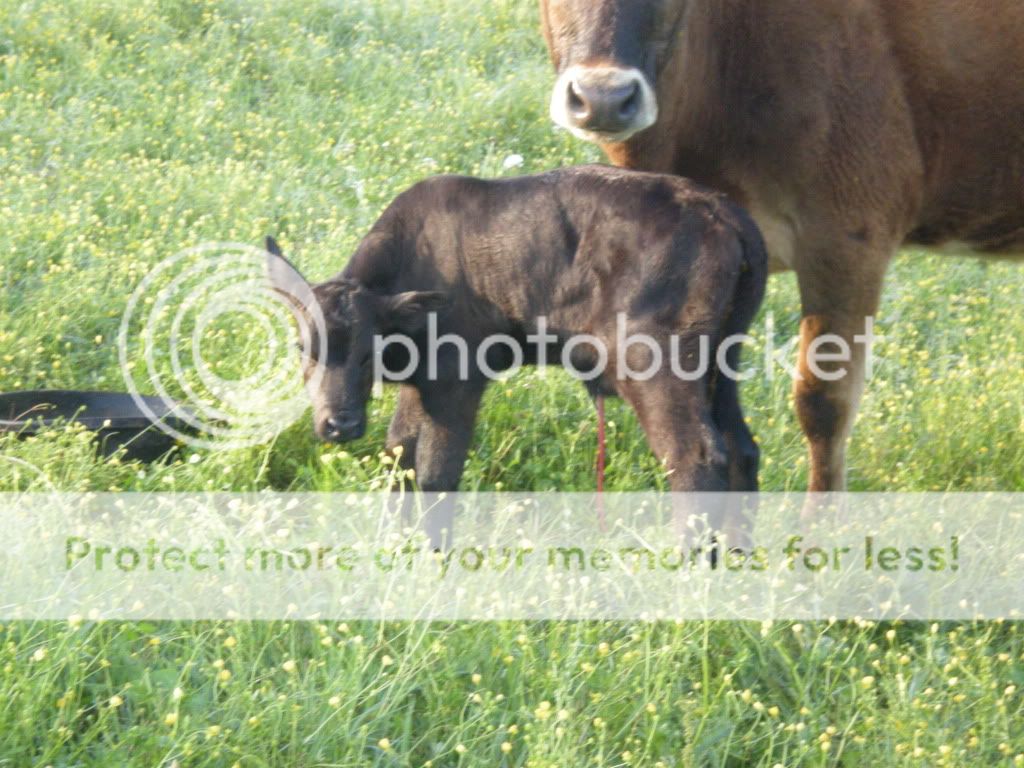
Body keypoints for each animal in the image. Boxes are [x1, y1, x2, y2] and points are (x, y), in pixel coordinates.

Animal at [266, 166, 768, 519]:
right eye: (302, 348)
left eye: (368, 349)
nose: (340, 424)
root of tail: (724, 214)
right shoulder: (422, 386)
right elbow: (400, 460)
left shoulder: (457, 385)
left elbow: (435, 475)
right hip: (721, 367)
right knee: (741, 450)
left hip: (657, 369)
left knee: (693, 456)